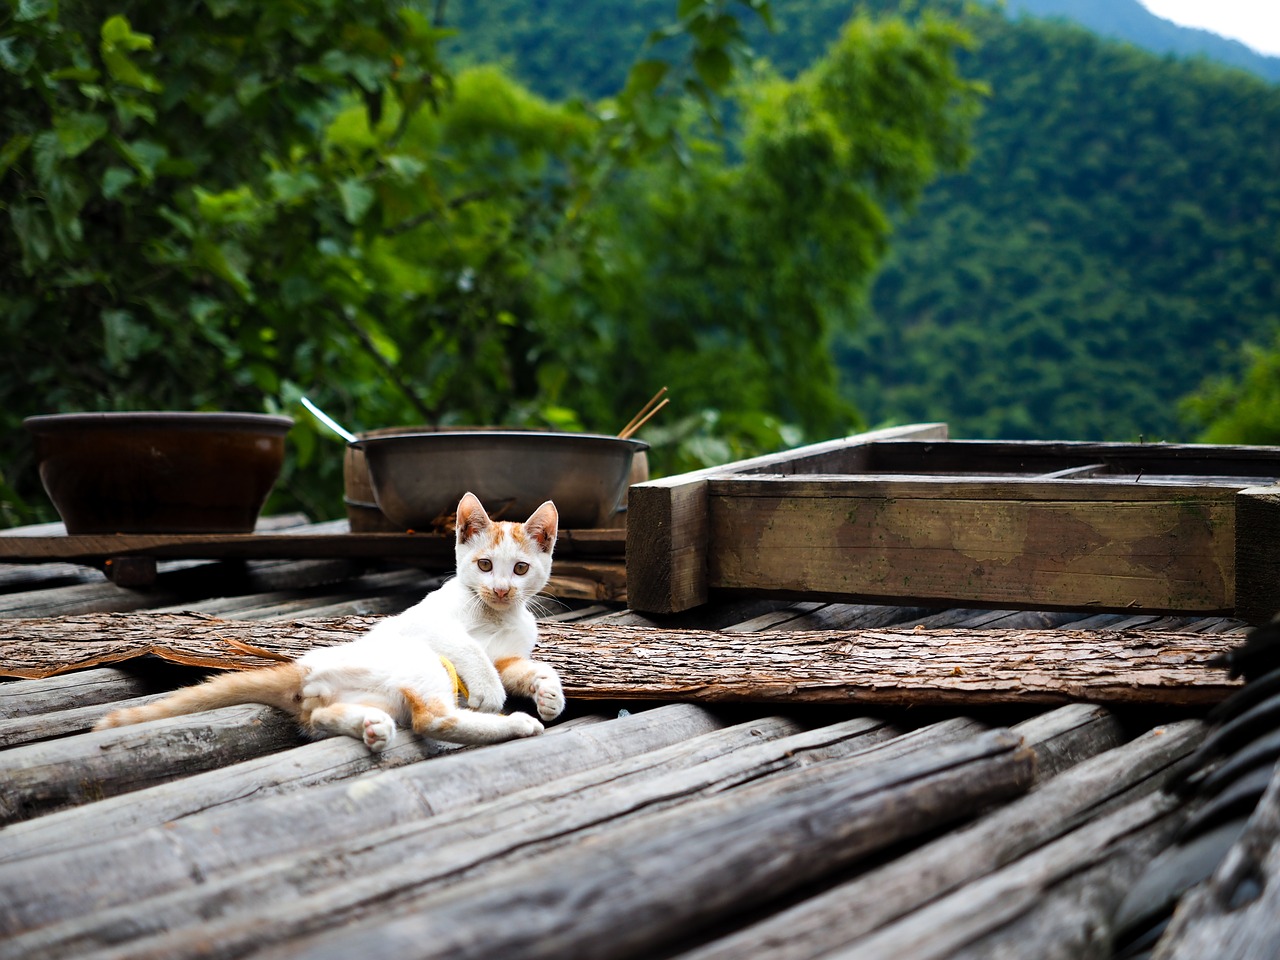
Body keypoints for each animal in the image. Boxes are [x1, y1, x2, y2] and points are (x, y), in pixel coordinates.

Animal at [94, 496, 565, 752]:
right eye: (484, 565)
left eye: (520, 569)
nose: (501, 589)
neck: (494, 615)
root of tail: (303, 667)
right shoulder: (424, 623)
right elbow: (467, 647)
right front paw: (488, 690)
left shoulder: (508, 655)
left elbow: (527, 667)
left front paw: (549, 694)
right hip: (418, 659)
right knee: (433, 720)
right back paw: (515, 724)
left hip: (360, 698)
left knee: (323, 716)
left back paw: (370, 727)